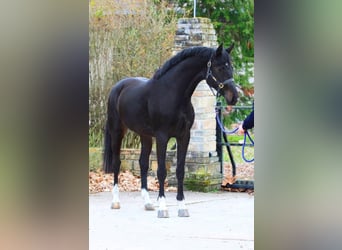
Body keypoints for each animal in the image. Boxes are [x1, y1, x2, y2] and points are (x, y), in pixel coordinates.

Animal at [103, 44, 239, 218]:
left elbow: (180, 171)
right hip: (117, 131)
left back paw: (147, 203)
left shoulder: (184, 137)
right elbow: (161, 171)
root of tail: (117, 87)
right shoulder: (162, 137)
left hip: (145, 135)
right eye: (220, 67)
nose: (234, 97)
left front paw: (182, 206)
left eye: (231, 67)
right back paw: (115, 201)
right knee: (116, 163)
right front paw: (163, 207)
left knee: (143, 164)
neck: (173, 94)